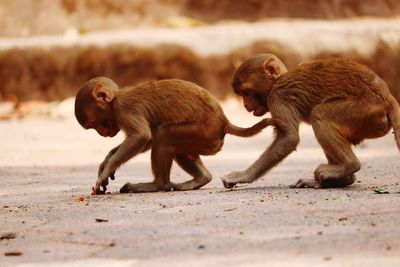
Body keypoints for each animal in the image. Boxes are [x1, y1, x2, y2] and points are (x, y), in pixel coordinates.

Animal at [73, 76, 276, 194]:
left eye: (94, 124)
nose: (103, 134)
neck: (116, 99)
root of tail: (224, 121)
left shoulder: (125, 110)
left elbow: (142, 136)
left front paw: (106, 170)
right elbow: (147, 139)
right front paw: (107, 160)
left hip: (203, 132)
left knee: (164, 135)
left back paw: (158, 185)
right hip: (205, 140)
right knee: (175, 147)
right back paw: (202, 179)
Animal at [220, 54, 400, 191]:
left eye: (246, 92)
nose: (245, 105)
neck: (277, 81)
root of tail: (388, 99)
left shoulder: (278, 97)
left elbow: (289, 139)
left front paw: (243, 176)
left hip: (365, 111)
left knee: (319, 115)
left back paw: (349, 165)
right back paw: (343, 180)